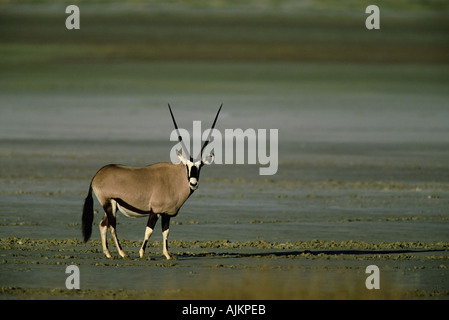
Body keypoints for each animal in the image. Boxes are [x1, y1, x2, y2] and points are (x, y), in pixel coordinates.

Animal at [81, 105, 221, 260]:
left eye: (200, 166)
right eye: (187, 166)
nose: (193, 184)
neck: (174, 180)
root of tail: (97, 175)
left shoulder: (166, 214)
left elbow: (166, 232)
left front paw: (167, 254)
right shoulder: (155, 211)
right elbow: (149, 230)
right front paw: (142, 253)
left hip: (113, 206)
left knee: (103, 224)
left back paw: (108, 253)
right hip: (109, 203)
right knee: (112, 226)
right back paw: (123, 253)